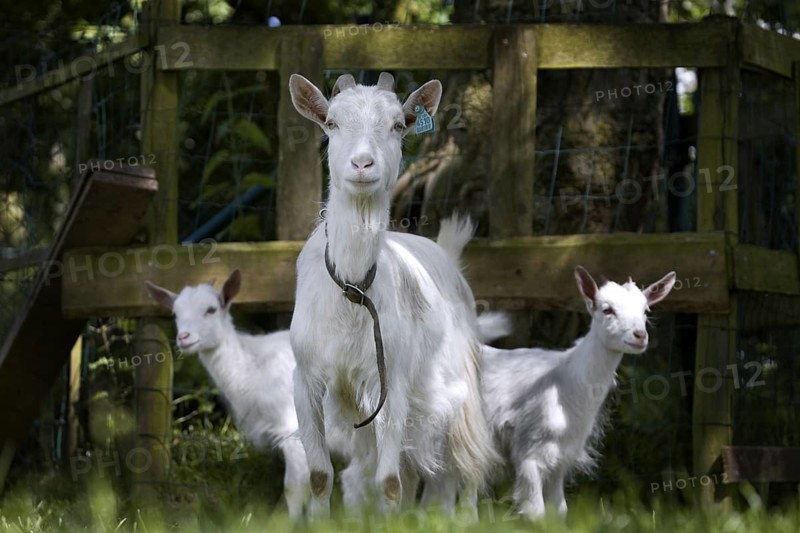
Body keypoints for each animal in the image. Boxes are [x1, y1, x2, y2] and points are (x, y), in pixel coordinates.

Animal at [144, 271, 312, 519]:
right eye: (175, 313)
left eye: (211, 309)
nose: (184, 337)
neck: (252, 369)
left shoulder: (292, 429)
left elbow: (294, 488)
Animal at [288, 72, 498, 516]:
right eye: (331, 123)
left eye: (398, 125)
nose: (362, 164)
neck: (352, 287)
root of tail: (447, 253)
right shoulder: (307, 378)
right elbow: (321, 476)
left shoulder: (393, 383)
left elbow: (388, 482)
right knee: (413, 468)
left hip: (460, 385)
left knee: (469, 458)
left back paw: (467, 514)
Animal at [478, 266, 675, 519]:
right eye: (607, 309)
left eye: (645, 310)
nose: (640, 336)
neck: (565, 383)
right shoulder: (528, 450)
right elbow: (536, 510)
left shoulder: (561, 455)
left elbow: (560, 509)